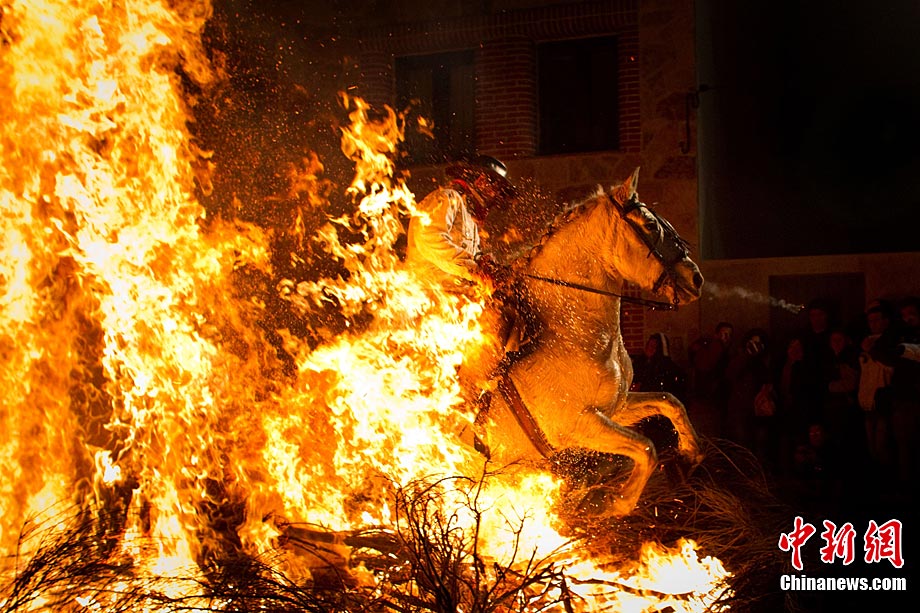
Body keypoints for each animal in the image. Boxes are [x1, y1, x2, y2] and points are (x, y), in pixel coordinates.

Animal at [474, 167, 704, 516]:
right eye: (651, 225)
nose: (696, 279)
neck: (573, 336)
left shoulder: (615, 409)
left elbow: (669, 401)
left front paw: (689, 454)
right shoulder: (581, 426)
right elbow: (646, 447)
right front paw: (618, 502)